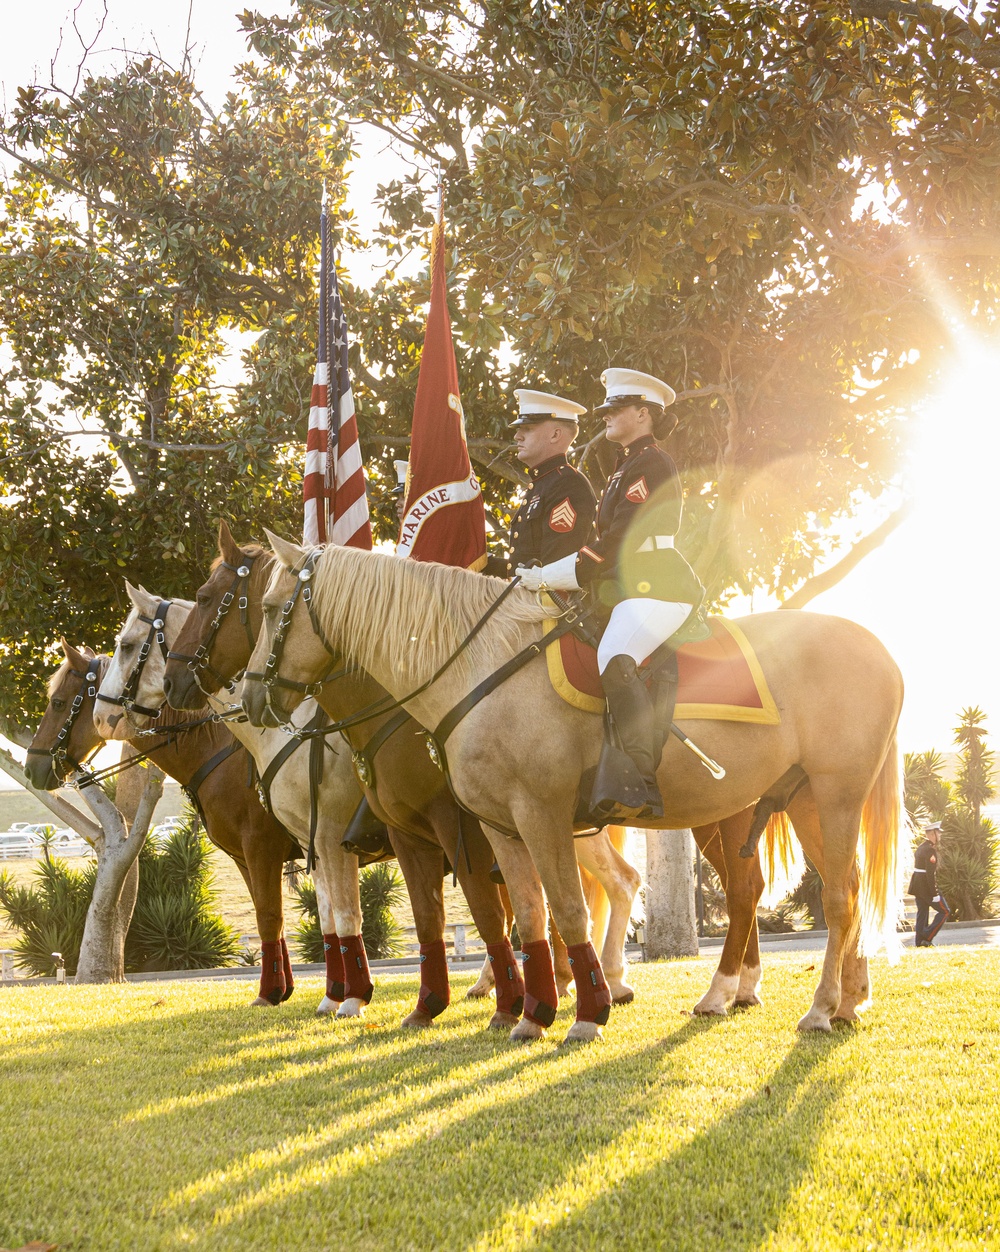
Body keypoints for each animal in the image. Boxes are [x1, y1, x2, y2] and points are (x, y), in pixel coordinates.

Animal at [26, 646, 301, 1006]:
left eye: (58, 702)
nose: (31, 765)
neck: (218, 754)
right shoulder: (246, 858)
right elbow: (270, 917)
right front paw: (281, 988)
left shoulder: (261, 850)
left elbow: (269, 917)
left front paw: (269, 993)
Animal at [157, 523, 640, 1021]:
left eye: (206, 597)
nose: (174, 682)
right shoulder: (351, 839)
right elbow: (385, 916)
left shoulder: (431, 828)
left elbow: (472, 912)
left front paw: (347, 996)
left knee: (612, 883)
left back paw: (601, 981)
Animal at [240, 543, 906, 1041]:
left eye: (271, 610)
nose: (251, 700)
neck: (481, 669)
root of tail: (879, 649)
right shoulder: (499, 827)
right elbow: (529, 915)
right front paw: (533, 1014)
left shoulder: (539, 815)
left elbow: (566, 908)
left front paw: (587, 1012)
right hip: (804, 799)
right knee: (844, 889)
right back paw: (844, 1000)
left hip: (834, 794)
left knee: (834, 899)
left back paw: (815, 1008)